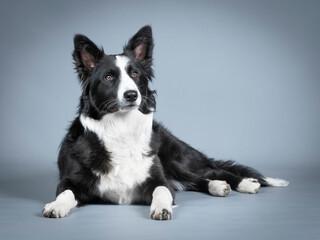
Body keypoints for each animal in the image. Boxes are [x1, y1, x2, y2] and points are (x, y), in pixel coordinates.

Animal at [43, 25, 290, 219]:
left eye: (135, 74)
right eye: (109, 77)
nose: (132, 95)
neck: (121, 129)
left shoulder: (158, 179)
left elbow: (162, 191)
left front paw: (162, 208)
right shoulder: (69, 180)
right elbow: (65, 192)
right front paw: (56, 205)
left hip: (177, 160)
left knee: (214, 171)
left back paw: (244, 183)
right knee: (201, 179)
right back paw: (218, 187)